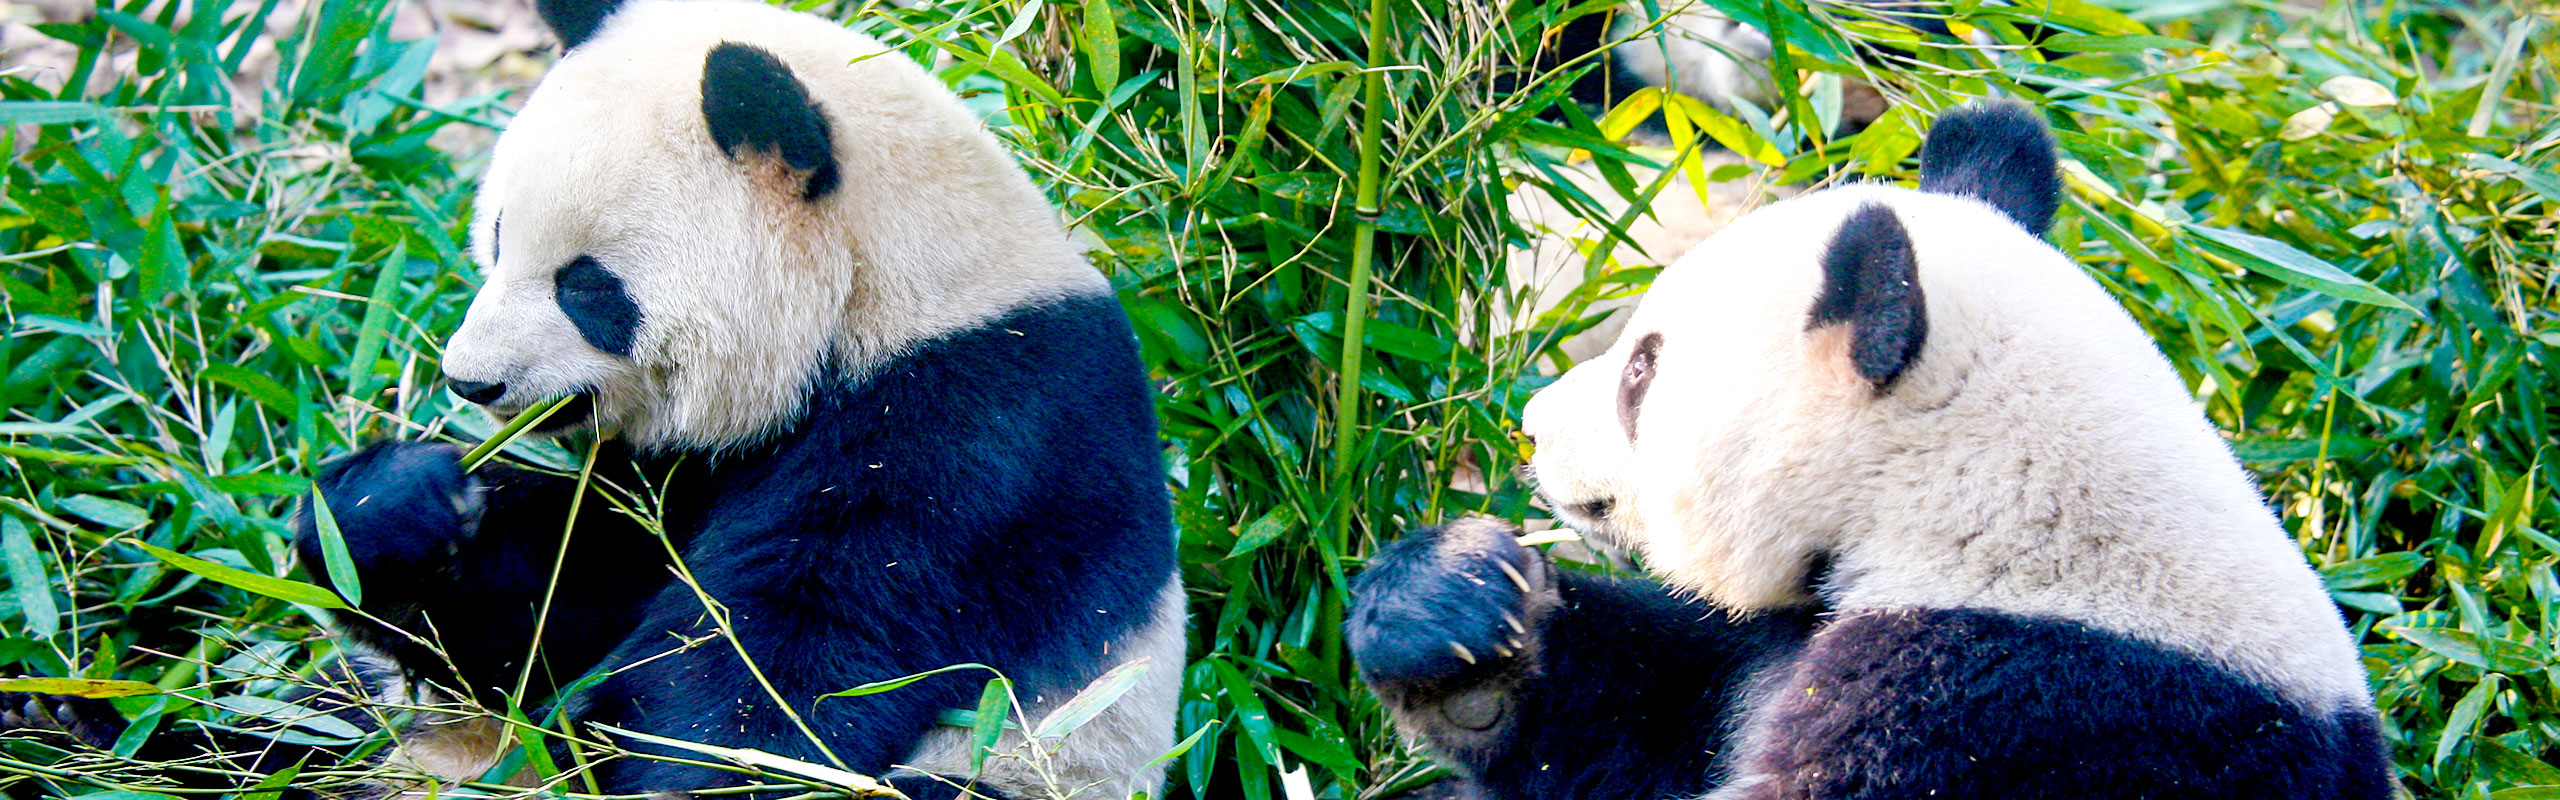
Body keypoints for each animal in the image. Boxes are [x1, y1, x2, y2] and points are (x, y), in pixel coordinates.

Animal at [4, 1, 1182, 798]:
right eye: (491, 238)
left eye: (587, 285)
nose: (470, 382)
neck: (885, 291)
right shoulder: (678, 468)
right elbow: (563, 600)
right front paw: (398, 506)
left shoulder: (972, 431)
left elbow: (770, 673)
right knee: (291, 721)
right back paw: (76, 718)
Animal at [1348, 102, 2392, 800]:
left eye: (1642, 369)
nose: (1533, 423)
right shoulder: (1774, 639)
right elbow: (1640, 713)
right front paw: (1453, 617)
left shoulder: (2011, 702)